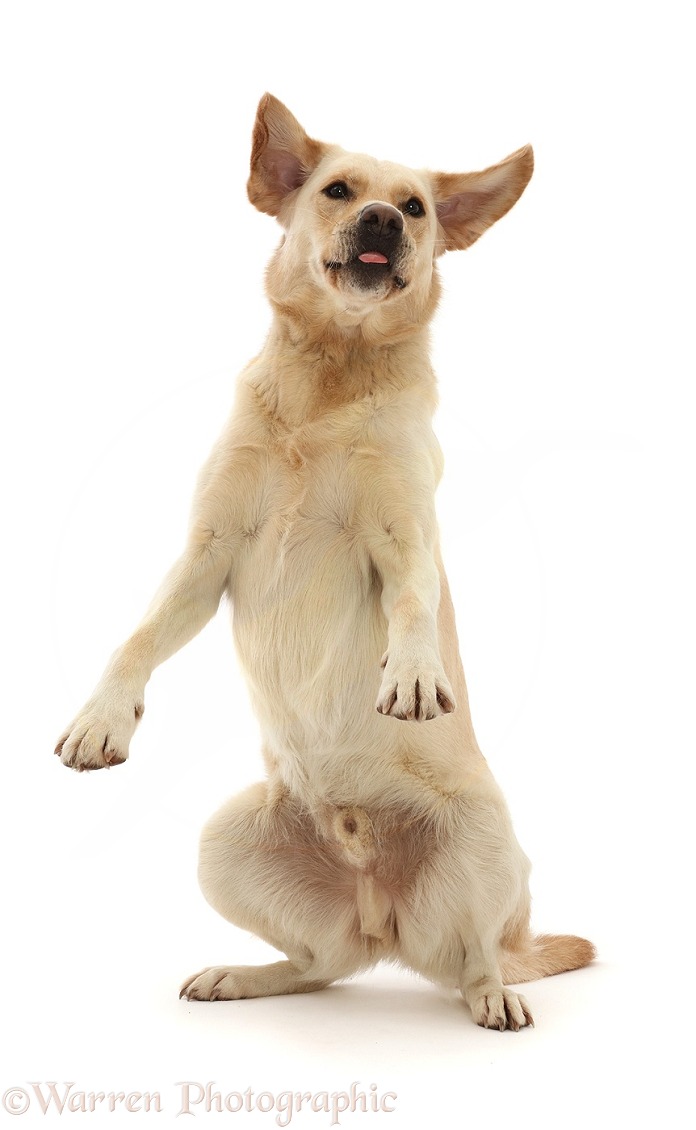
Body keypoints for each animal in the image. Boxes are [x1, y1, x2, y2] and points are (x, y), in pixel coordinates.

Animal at [54, 92, 596, 1030]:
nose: (382, 219)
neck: (332, 377)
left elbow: (412, 606)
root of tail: (383, 917)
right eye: (339, 190)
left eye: (415, 206)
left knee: (480, 956)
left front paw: (411, 674)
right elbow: (137, 638)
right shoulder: (206, 556)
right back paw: (245, 975)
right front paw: (103, 718)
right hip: (227, 840)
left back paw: (493, 994)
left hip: (489, 837)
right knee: (321, 965)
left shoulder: (406, 537)